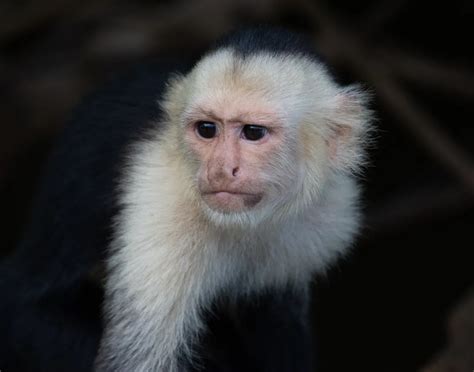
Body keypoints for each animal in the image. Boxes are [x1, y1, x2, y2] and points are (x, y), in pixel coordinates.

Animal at [0, 28, 370, 372]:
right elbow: (140, 360)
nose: (220, 170)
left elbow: (277, 315)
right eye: (207, 129)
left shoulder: (329, 216)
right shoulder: (163, 204)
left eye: (253, 132)